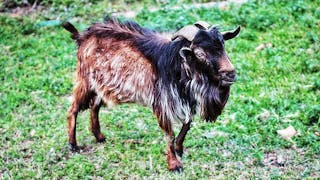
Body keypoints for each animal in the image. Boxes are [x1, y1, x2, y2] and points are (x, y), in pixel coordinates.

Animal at [62, 17, 240, 172]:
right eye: (201, 54)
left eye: (223, 46)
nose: (230, 73)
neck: (178, 64)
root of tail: (82, 37)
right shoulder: (162, 103)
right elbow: (169, 135)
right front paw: (174, 164)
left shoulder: (186, 100)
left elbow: (187, 125)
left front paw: (179, 149)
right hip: (85, 81)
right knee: (73, 109)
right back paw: (73, 145)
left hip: (102, 85)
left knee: (95, 106)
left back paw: (99, 137)